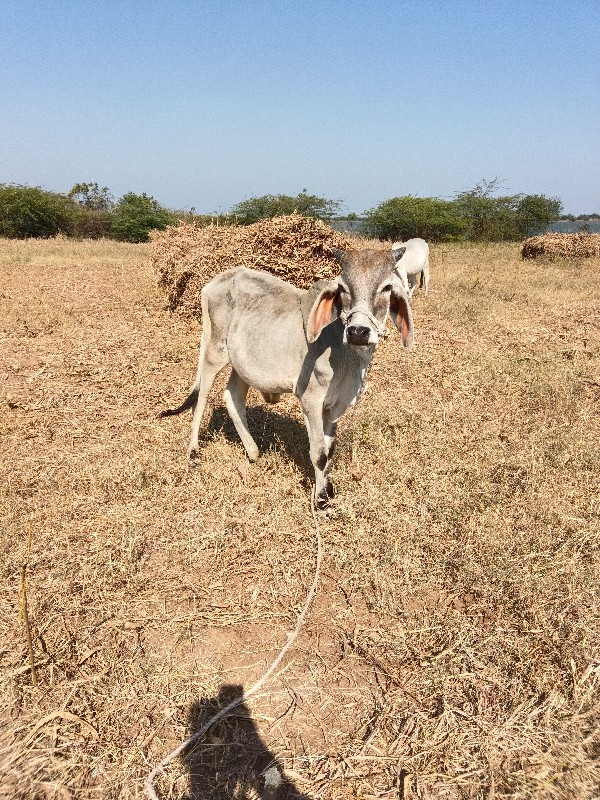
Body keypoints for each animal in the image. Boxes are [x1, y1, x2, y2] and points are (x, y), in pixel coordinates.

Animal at [159, 250, 412, 510]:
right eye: (342, 287)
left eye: (387, 287)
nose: (358, 332)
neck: (346, 356)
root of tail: (221, 278)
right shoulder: (310, 399)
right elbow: (319, 453)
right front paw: (320, 501)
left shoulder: (335, 406)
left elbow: (329, 449)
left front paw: (328, 489)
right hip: (215, 351)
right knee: (202, 398)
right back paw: (193, 451)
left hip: (242, 364)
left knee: (232, 396)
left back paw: (253, 452)